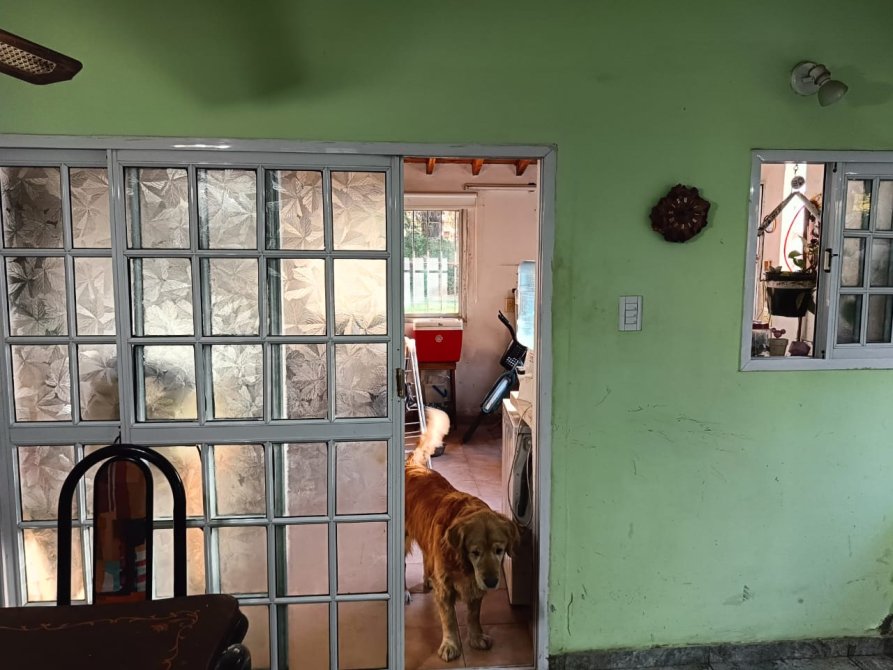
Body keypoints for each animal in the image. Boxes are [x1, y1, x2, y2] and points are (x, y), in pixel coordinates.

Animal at [405, 407, 520, 662]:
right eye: (474, 552)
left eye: (499, 550)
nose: (492, 581)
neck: (463, 564)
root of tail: (412, 465)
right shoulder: (447, 587)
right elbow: (449, 618)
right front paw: (450, 645)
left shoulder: (475, 585)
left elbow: (473, 614)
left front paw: (476, 638)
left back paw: (427, 580)